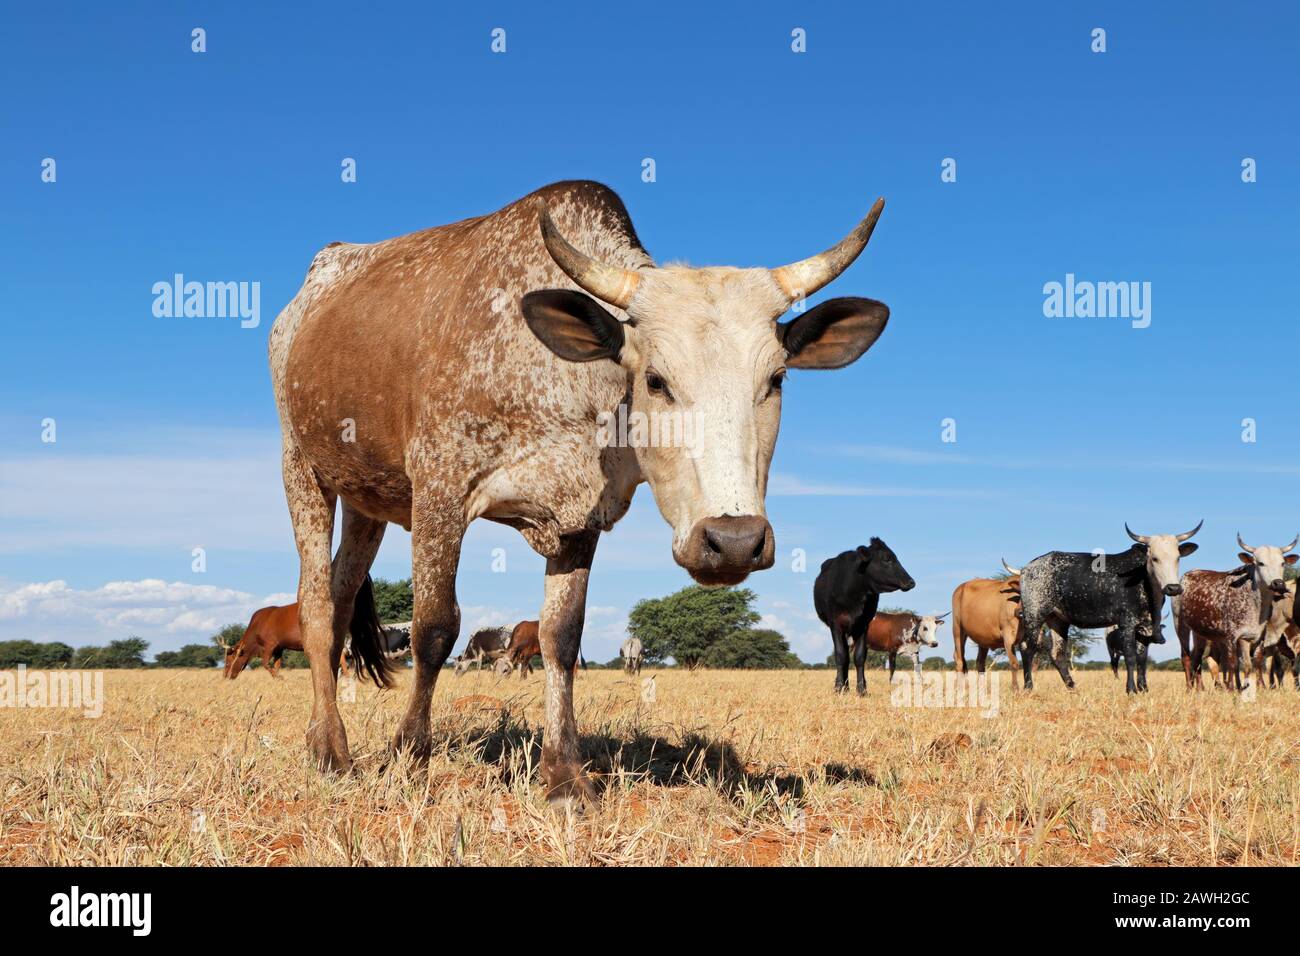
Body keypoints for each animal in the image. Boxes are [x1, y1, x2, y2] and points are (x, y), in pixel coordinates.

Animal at [266, 180, 894, 806]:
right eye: (656, 381)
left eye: (776, 379)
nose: (734, 540)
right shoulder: (441, 490)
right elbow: (434, 628)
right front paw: (408, 758)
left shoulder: (581, 520)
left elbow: (561, 638)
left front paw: (564, 774)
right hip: (302, 469)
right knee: (317, 606)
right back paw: (331, 750)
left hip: (365, 502)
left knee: (342, 598)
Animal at [811, 538, 915, 697]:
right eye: (886, 559)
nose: (911, 582)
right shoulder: (835, 625)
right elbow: (840, 655)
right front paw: (839, 687)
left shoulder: (863, 624)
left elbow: (859, 657)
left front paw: (861, 690)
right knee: (844, 655)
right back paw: (843, 686)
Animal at [1003, 520, 1206, 691]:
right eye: (1154, 558)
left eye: (1177, 558)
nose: (1173, 588)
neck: (1146, 583)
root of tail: (1028, 567)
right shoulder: (1126, 623)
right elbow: (1130, 657)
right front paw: (1131, 689)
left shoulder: (1144, 627)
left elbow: (1142, 660)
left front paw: (1143, 689)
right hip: (1034, 614)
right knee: (1027, 648)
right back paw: (1028, 687)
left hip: (1058, 620)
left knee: (1057, 653)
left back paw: (1073, 688)